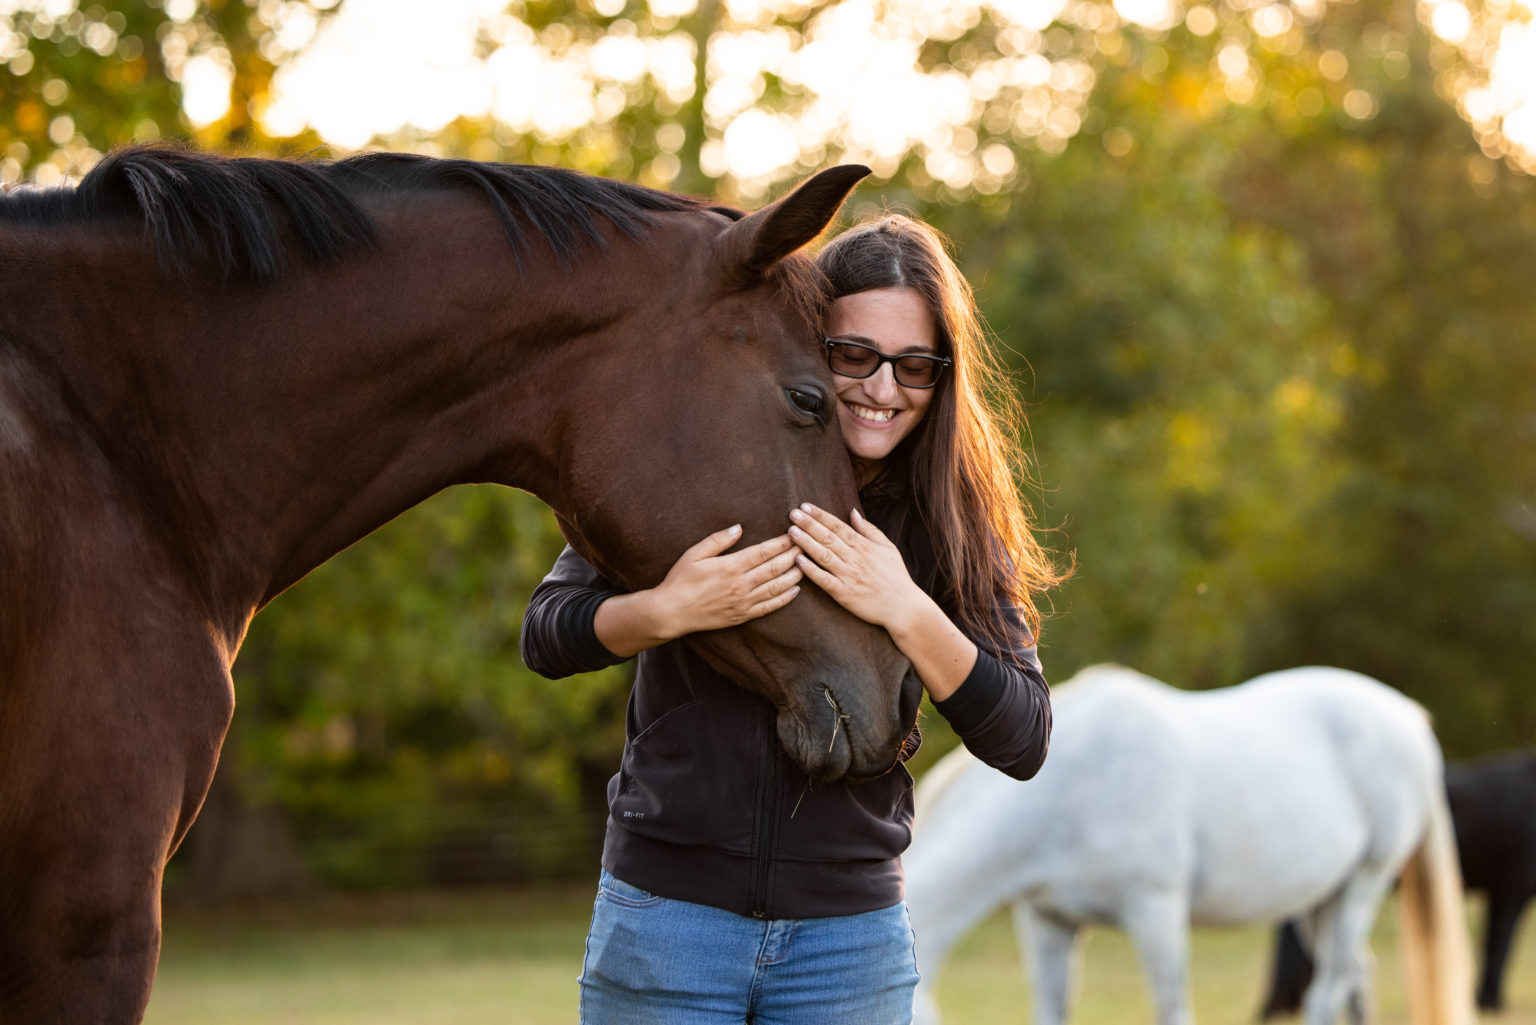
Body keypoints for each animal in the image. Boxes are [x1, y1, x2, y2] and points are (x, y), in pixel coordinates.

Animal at [905, 664, 1474, 1025]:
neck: (1071, 787)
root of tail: (1408, 716)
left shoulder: (1155, 911)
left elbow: (1172, 1010)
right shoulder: (1047, 921)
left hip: (1365, 883)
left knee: (1328, 989)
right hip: (1323, 899)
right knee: (1357, 976)